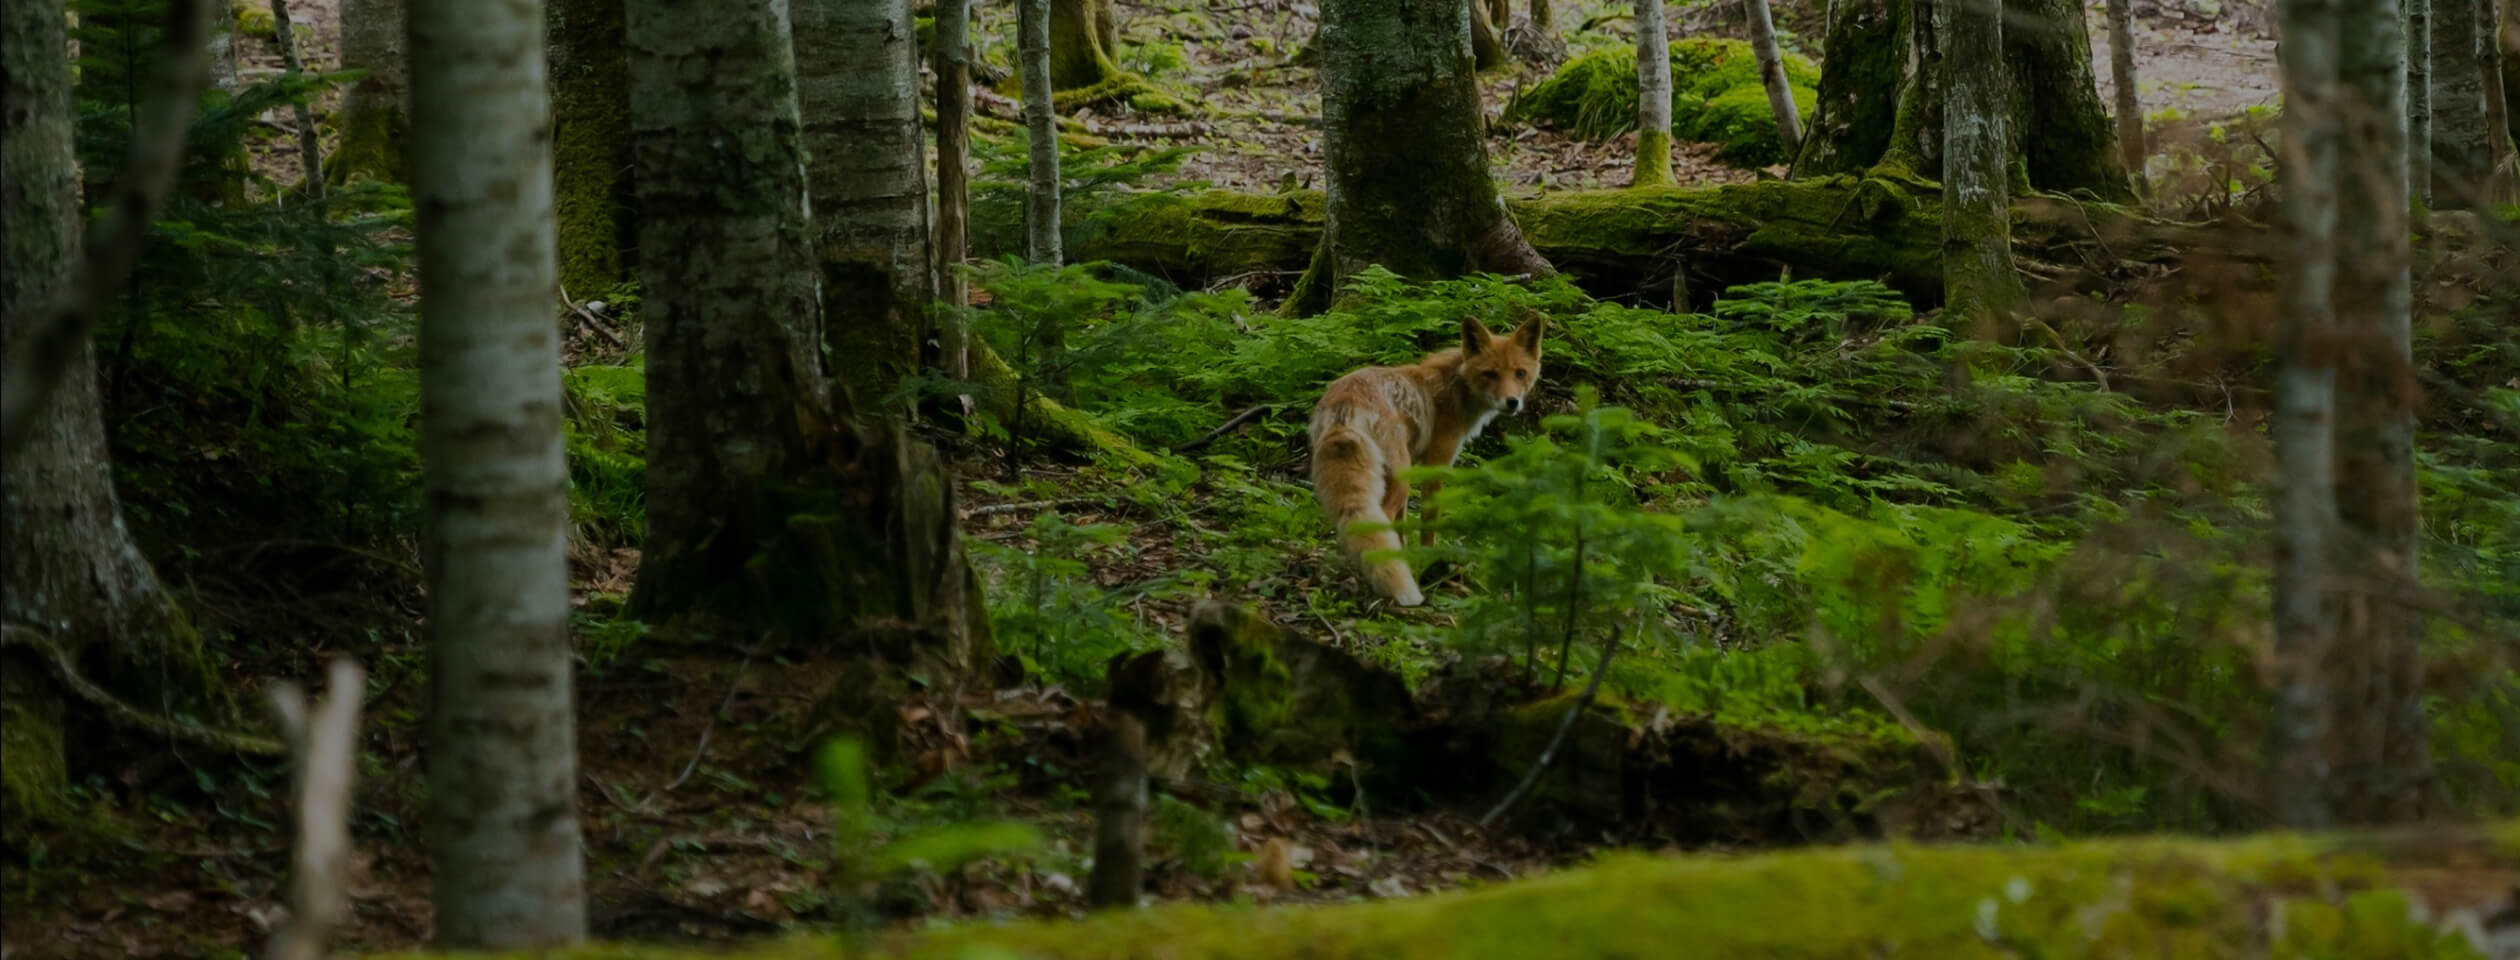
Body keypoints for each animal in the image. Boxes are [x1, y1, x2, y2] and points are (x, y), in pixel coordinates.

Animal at [1310, 309, 1542, 602]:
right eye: (1490, 374)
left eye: (1520, 373)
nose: (1512, 402)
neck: (1456, 389)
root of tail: (1345, 406)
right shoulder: (1435, 466)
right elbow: (1428, 526)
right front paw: (1428, 563)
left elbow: (1402, 529)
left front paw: (1408, 561)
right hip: (1399, 478)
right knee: (1380, 521)